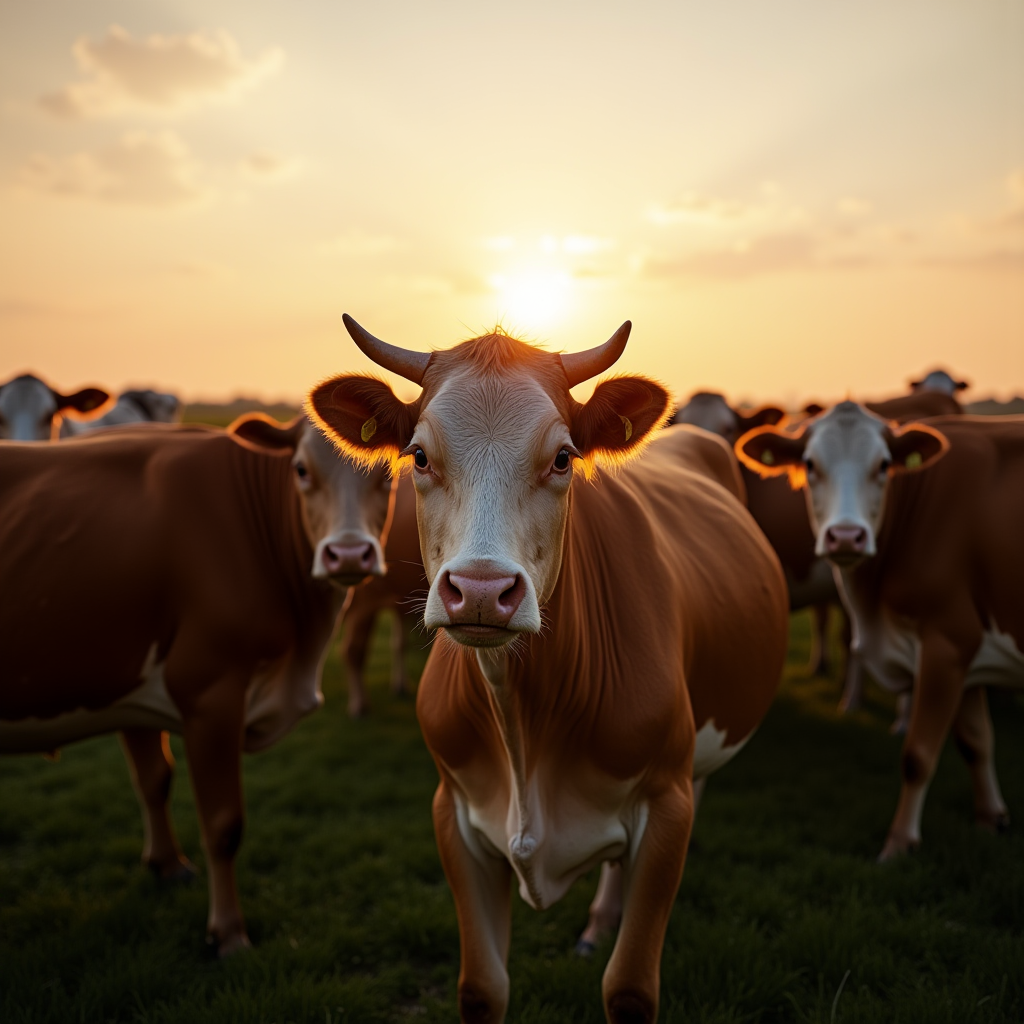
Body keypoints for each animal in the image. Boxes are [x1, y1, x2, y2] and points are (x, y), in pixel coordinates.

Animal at [0, 413, 397, 950]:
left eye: (391, 472)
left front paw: (167, 865)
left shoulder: (135, 684)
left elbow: (153, 779)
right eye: (300, 469)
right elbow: (223, 824)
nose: (350, 555)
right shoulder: (210, 694)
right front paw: (228, 933)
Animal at [307, 315, 786, 1024]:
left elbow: (630, 988)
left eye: (562, 458)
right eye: (418, 456)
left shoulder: (666, 808)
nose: (481, 591)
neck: (523, 726)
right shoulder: (456, 814)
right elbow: (482, 988)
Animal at [737, 403, 1024, 860]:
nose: (845, 536)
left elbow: (918, 755)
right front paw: (991, 820)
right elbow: (976, 741)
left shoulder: (947, 641)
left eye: (885, 465)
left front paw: (899, 843)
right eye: (810, 464)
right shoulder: (968, 651)